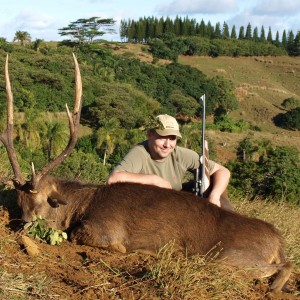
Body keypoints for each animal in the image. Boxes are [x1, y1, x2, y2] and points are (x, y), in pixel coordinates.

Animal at [0, 52, 290, 294]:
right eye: (20, 203)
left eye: (40, 203)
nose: (21, 229)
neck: (80, 205)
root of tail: (279, 241)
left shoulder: (106, 230)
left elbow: (84, 237)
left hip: (227, 258)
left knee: (282, 267)